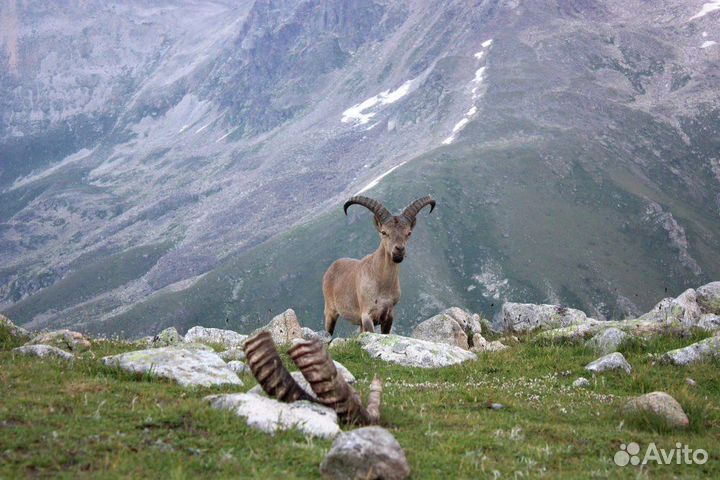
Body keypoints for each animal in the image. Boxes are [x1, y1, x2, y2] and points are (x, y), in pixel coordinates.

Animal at [324, 195, 436, 334]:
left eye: (408, 233)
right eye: (384, 232)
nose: (399, 250)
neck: (382, 286)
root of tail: (331, 267)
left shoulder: (389, 315)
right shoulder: (367, 315)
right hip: (330, 311)